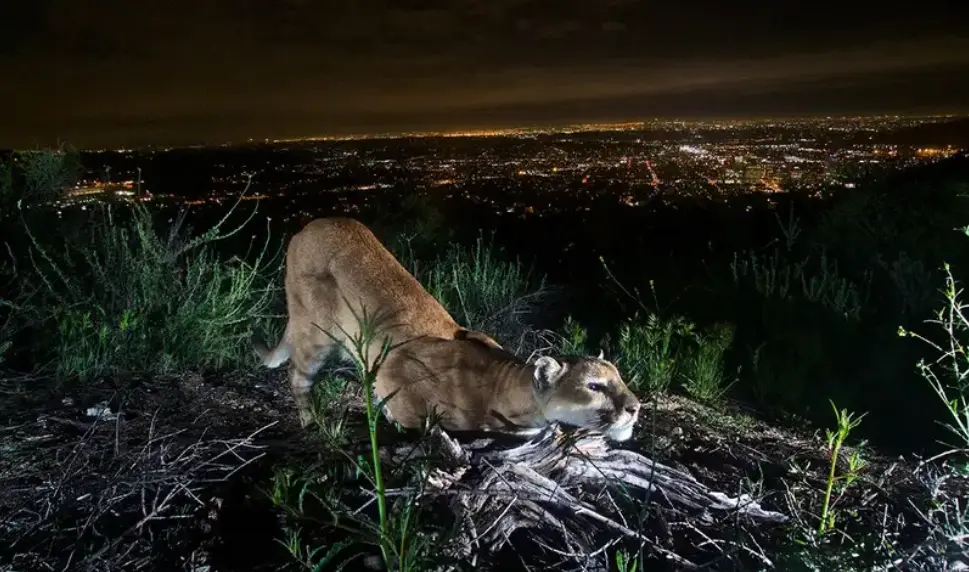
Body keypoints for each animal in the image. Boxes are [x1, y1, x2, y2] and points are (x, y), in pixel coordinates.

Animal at [253, 217, 641, 441]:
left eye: (620, 380)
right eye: (594, 386)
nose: (635, 407)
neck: (503, 386)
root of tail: (308, 227)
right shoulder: (396, 375)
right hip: (316, 333)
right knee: (298, 376)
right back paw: (313, 424)